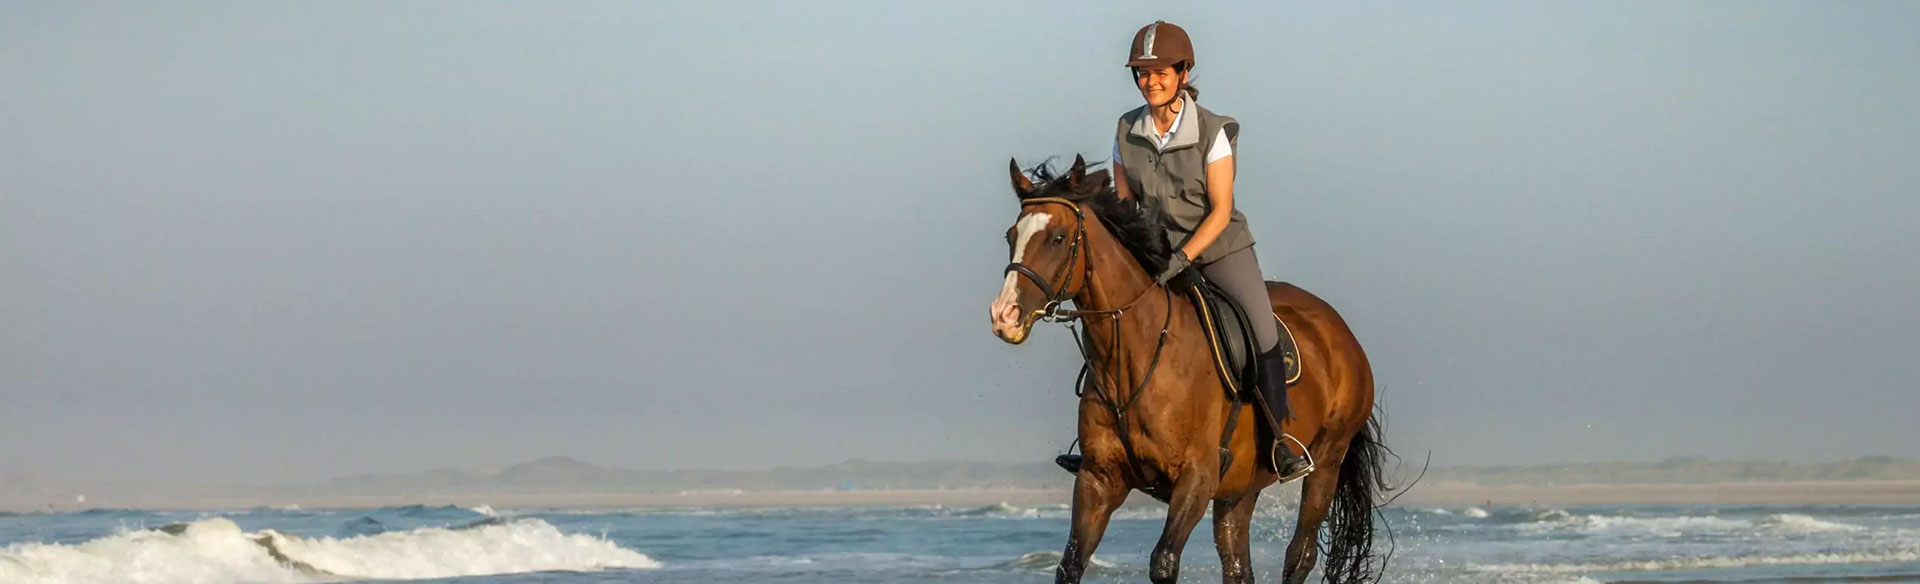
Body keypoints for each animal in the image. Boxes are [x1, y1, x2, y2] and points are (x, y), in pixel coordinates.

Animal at [990, 156, 1397, 584]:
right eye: (1011, 235)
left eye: (1057, 238)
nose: (1004, 315)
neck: (1134, 355)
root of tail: (1339, 330)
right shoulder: (1099, 478)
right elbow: (1070, 564)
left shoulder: (1196, 479)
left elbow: (1164, 562)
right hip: (1242, 485)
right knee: (1238, 564)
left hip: (1327, 459)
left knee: (1299, 554)